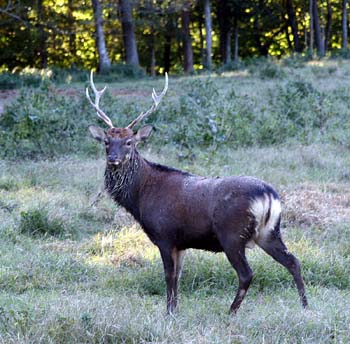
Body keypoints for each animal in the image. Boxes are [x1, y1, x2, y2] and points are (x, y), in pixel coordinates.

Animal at [86, 72, 308, 314]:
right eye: (106, 142)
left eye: (129, 142)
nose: (113, 159)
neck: (141, 197)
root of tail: (268, 195)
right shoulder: (181, 243)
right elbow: (178, 276)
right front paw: (175, 309)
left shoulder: (164, 235)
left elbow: (169, 276)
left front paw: (169, 312)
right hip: (270, 232)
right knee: (293, 261)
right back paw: (305, 305)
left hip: (232, 235)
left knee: (246, 274)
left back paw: (231, 311)